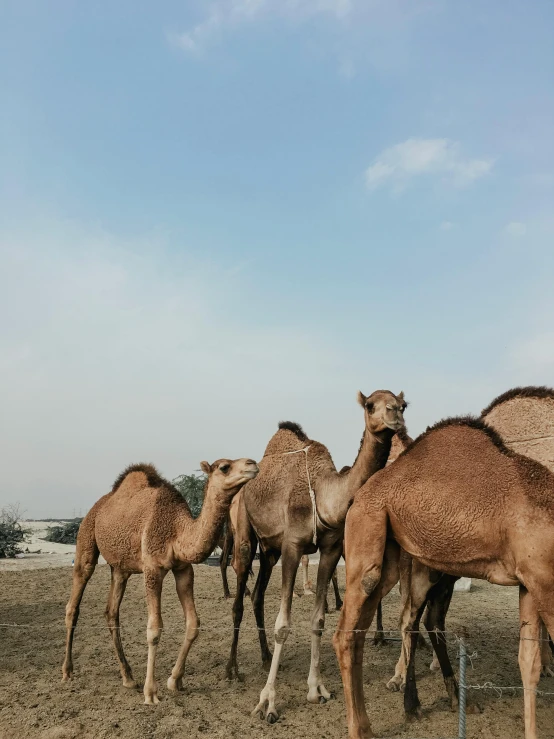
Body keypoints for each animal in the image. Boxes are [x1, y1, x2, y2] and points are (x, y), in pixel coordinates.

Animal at [61, 456, 260, 704]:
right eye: (224, 467)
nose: (252, 464)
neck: (176, 529)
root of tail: (98, 506)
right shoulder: (152, 569)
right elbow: (154, 629)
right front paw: (151, 693)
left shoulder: (183, 569)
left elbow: (193, 623)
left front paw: (175, 680)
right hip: (86, 538)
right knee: (74, 602)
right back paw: (67, 671)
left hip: (120, 568)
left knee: (111, 612)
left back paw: (128, 677)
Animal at [224, 394, 406, 724]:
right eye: (370, 405)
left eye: (402, 404)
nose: (394, 416)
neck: (322, 496)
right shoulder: (292, 547)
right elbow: (283, 624)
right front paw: (268, 702)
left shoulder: (331, 548)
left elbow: (319, 619)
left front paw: (317, 689)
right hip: (244, 532)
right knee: (239, 598)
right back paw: (232, 669)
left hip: (269, 551)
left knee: (257, 596)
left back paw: (266, 657)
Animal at [332, 416, 552, 739]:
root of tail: (359, 495)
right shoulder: (544, 579)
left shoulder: (531, 581)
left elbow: (529, 662)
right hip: (367, 529)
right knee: (348, 632)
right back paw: (365, 727)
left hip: (398, 555)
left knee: (374, 628)